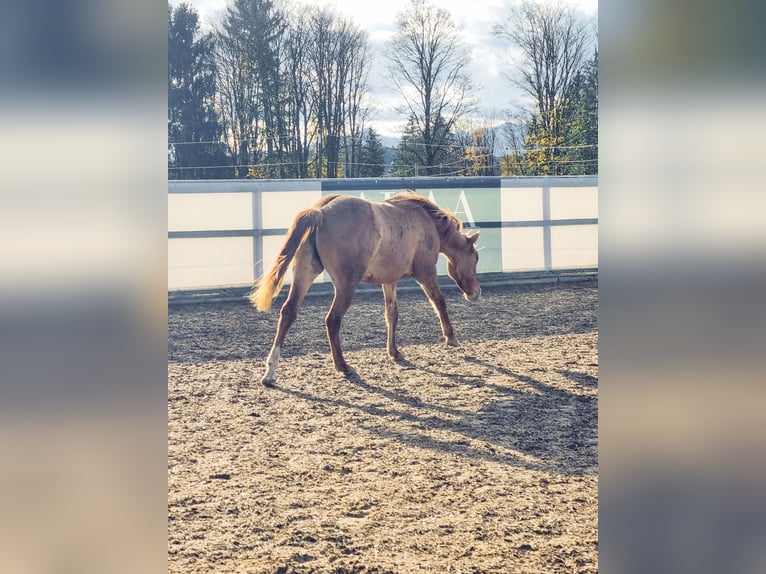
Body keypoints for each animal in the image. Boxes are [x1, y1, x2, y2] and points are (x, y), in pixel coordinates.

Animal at [250, 192, 480, 388]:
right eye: (476, 257)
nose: (476, 293)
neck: (426, 222)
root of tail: (321, 212)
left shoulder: (389, 280)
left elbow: (392, 315)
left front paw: (394, 352)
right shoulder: (425, 273)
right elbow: (439, 302)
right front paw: (451, 338)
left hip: (305, 273)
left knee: (288, 312)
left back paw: (270, 372)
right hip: (346, 285)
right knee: (332, 320)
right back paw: (343, 366)